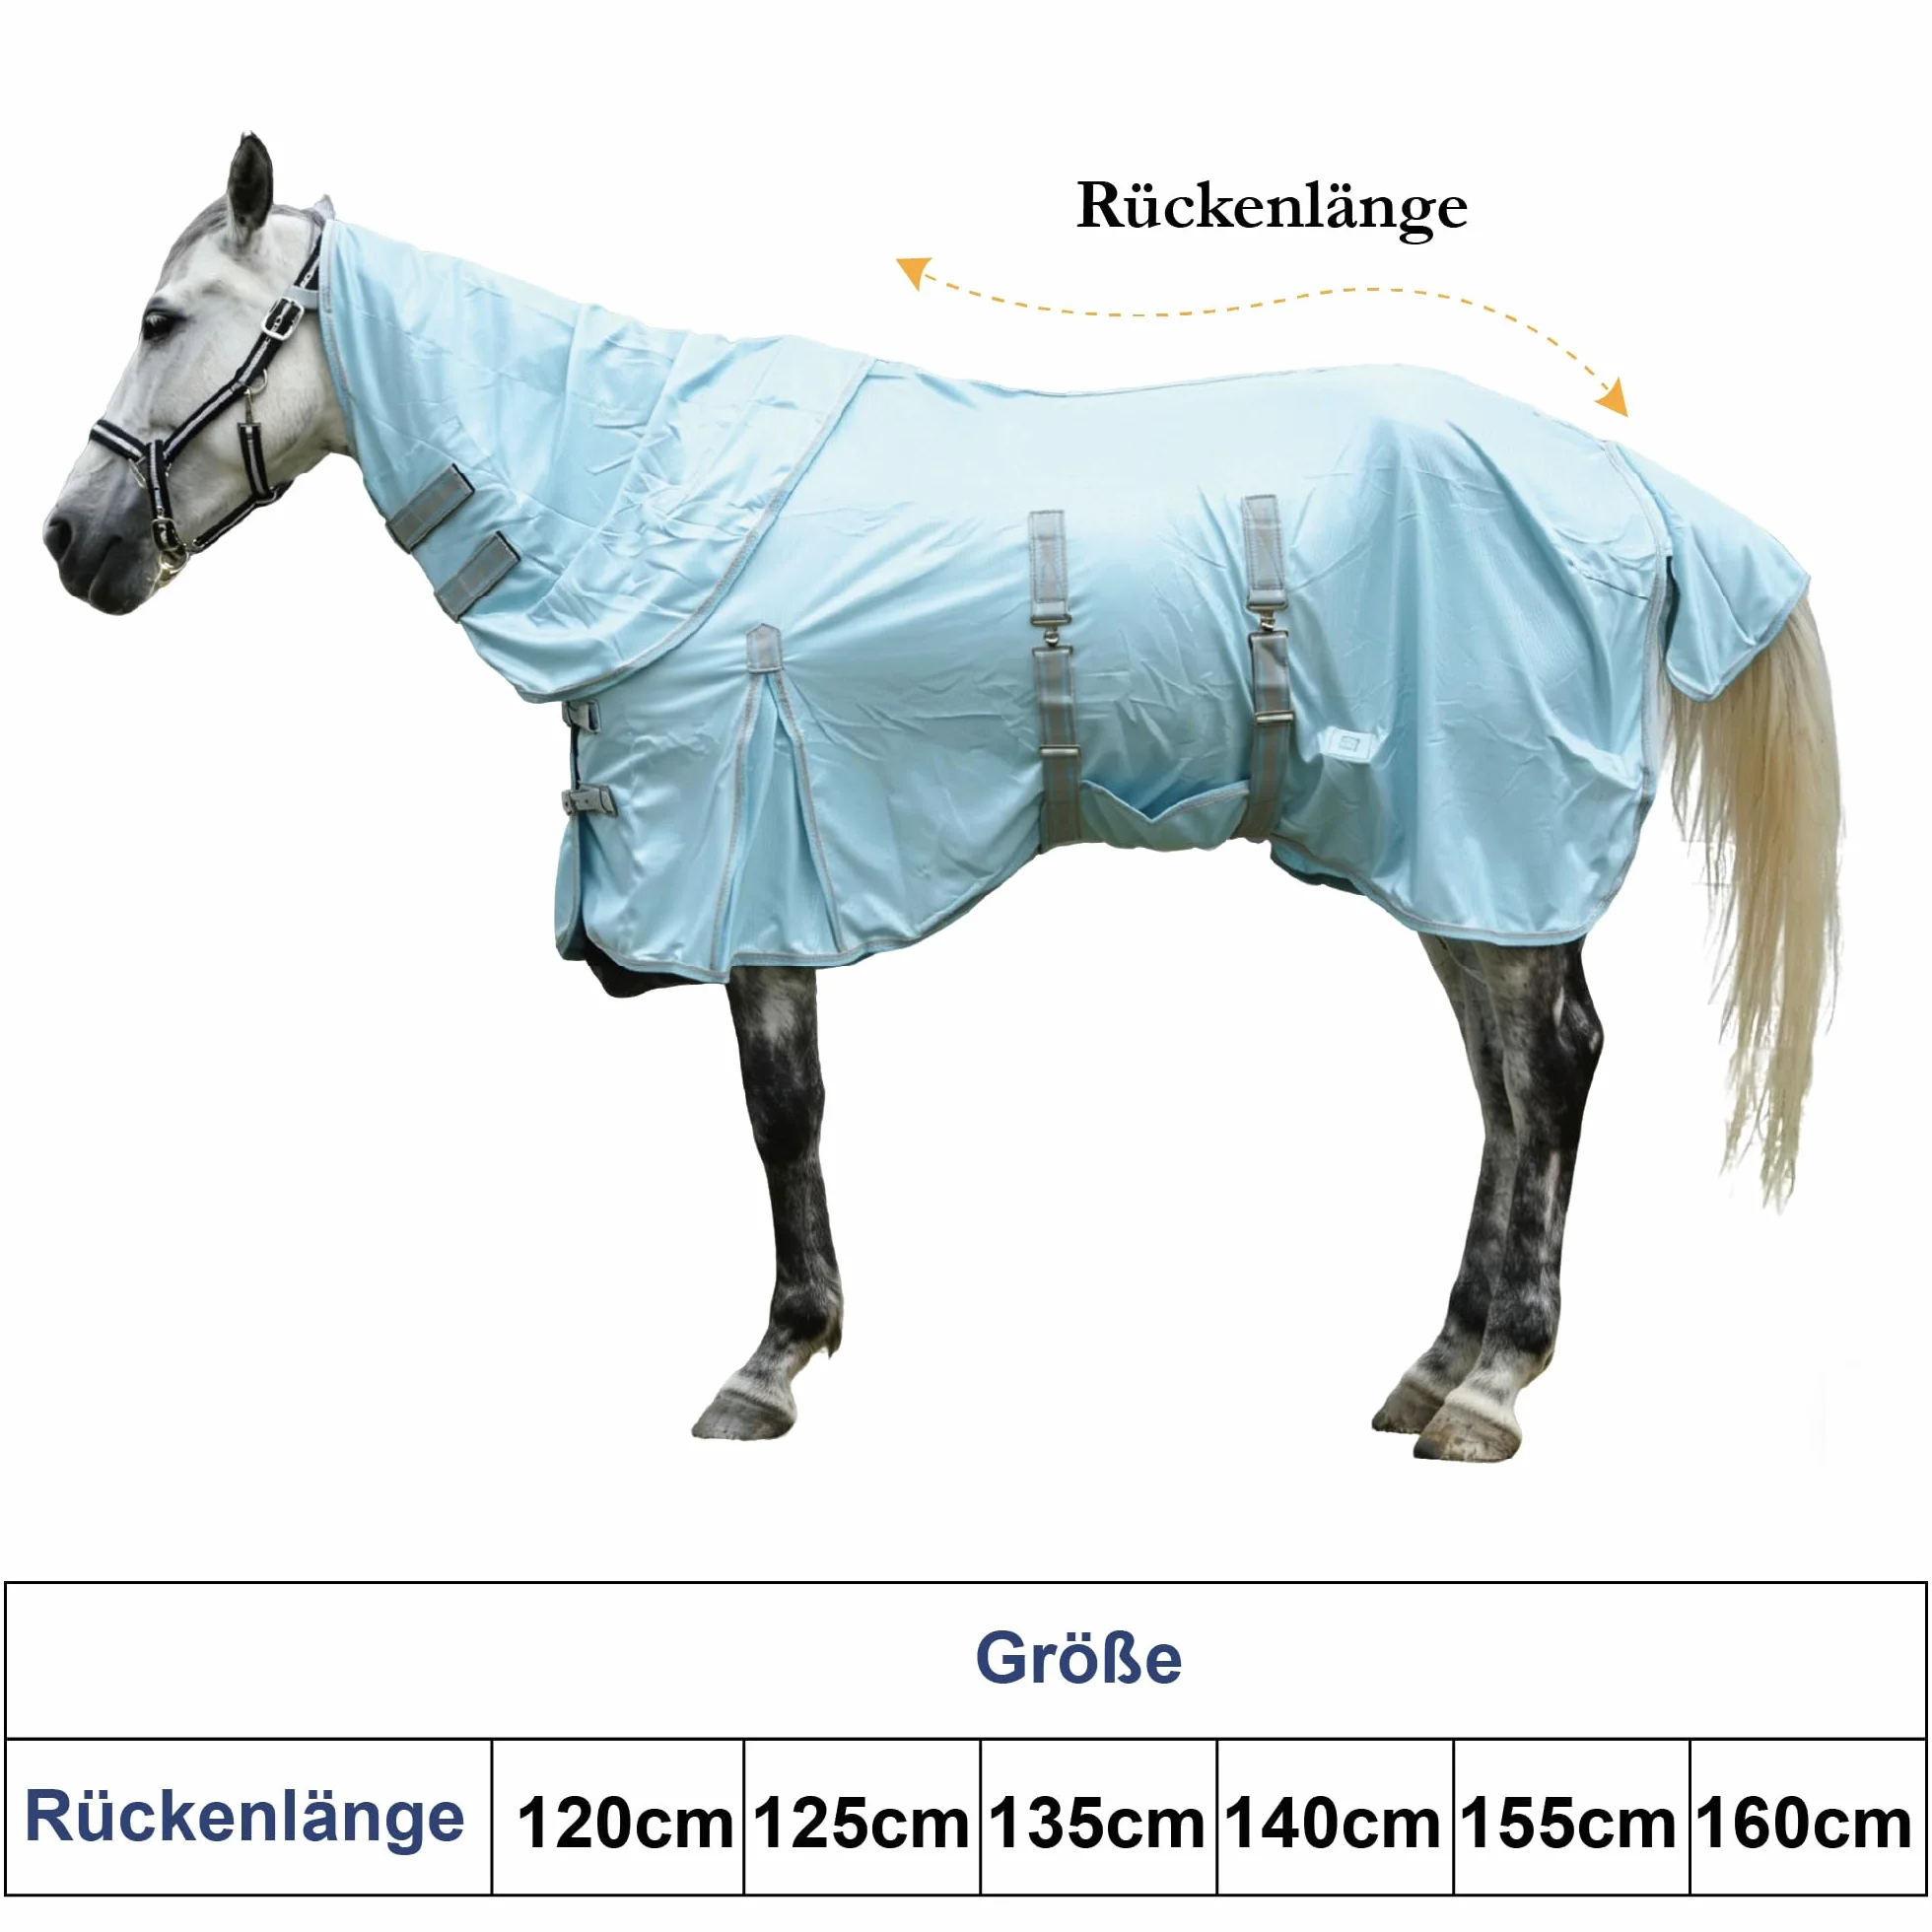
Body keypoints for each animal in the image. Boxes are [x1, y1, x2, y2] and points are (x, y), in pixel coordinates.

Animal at [43, 135, 1841, 1460]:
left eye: (159, 318)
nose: (71, 542)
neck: (641, 497)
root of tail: (1626, 488)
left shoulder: (760, 857)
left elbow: (782, 1114)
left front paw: (774, 1359)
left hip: (1492, 841)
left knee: (1549, 1070)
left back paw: (1496, 1382)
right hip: (1455, 859)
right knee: (1511, 1086)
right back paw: (1438, 1361)